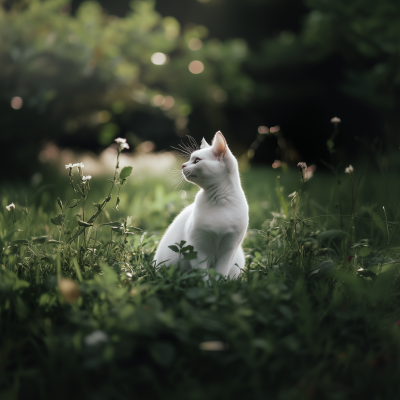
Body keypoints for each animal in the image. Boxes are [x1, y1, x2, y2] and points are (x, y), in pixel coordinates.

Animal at [155, 131, 248, 278]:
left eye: (197, 160)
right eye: (189, 159)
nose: (183, 165)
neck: (219, 201)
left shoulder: (229, 249)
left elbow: (220, 273)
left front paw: (219, 283)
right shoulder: (198, 247)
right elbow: (203, 274)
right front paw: (206, 283)